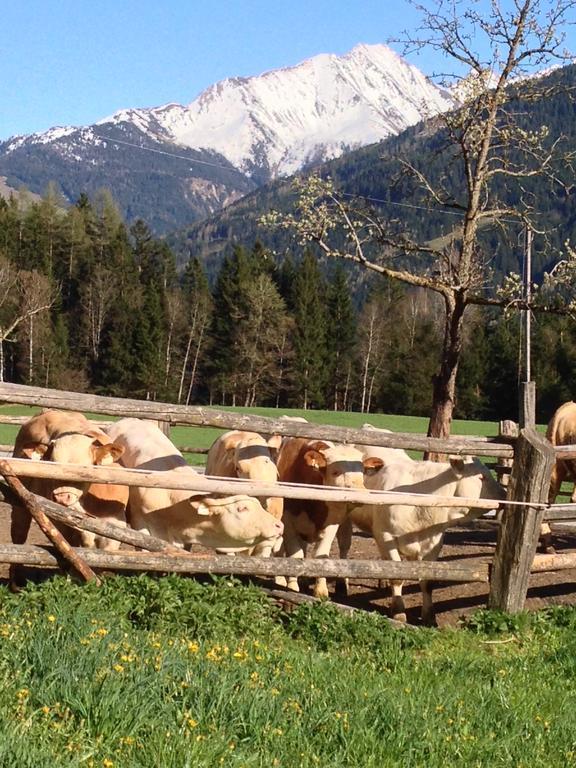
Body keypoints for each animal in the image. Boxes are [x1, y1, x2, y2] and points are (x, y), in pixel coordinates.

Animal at [9, 412, 127, 592]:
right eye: (51, 466)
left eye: (84, 469)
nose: (61, 497)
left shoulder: (117, 523)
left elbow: (108, 553)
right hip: (21, 504)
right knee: (19, 537)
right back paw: (16, 584)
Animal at [274, 438, 382, 600]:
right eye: (335, 471)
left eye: (362, 471)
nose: (361, 494)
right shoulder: (288, 524)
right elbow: (294, 556)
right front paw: (292, 587)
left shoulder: (332, 523)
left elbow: (321, 555)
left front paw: (321, 591)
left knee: (344, 547)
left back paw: (341, 584)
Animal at [346, 456, 504, 624]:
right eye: (481, 477)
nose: (505, 494)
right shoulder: (385, 536)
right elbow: (397, 577)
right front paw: (398, 612)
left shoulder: (434, 542)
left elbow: (427, 580)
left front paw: (429, 617)